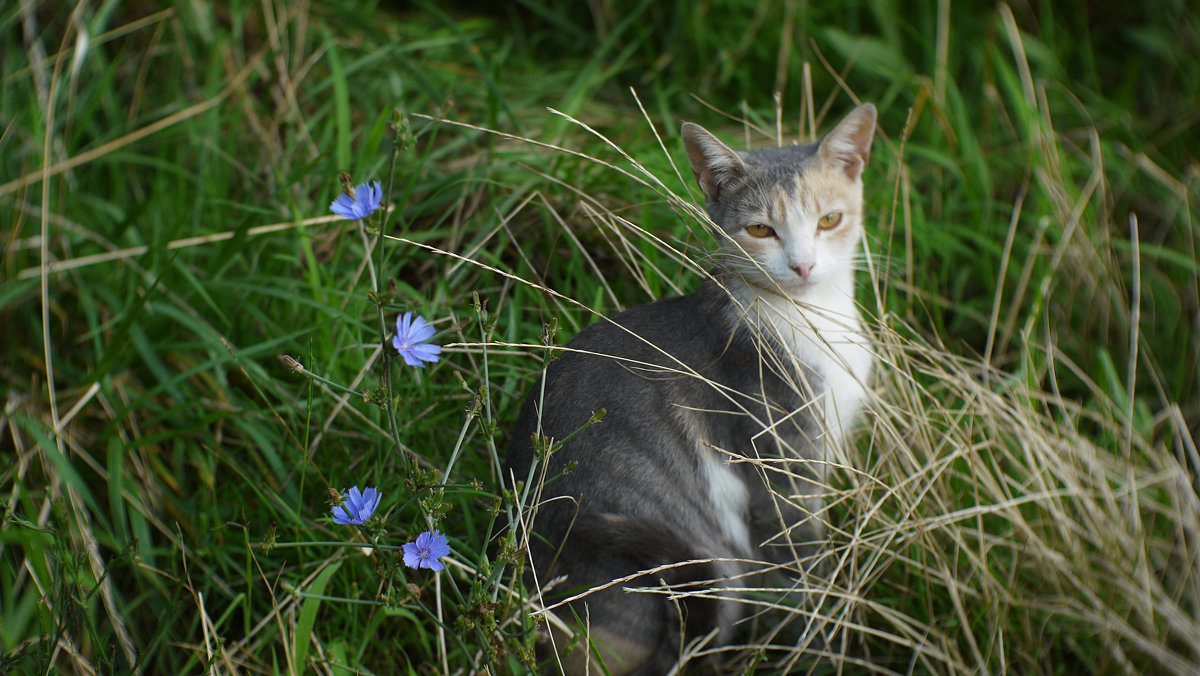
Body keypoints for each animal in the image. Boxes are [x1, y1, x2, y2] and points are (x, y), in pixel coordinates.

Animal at [501, 103, 878, 672]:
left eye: (829, 220)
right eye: (760, 229)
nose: (803, 265)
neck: (812, 318)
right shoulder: (780, 461)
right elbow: (801, 562)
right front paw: (822, 639)